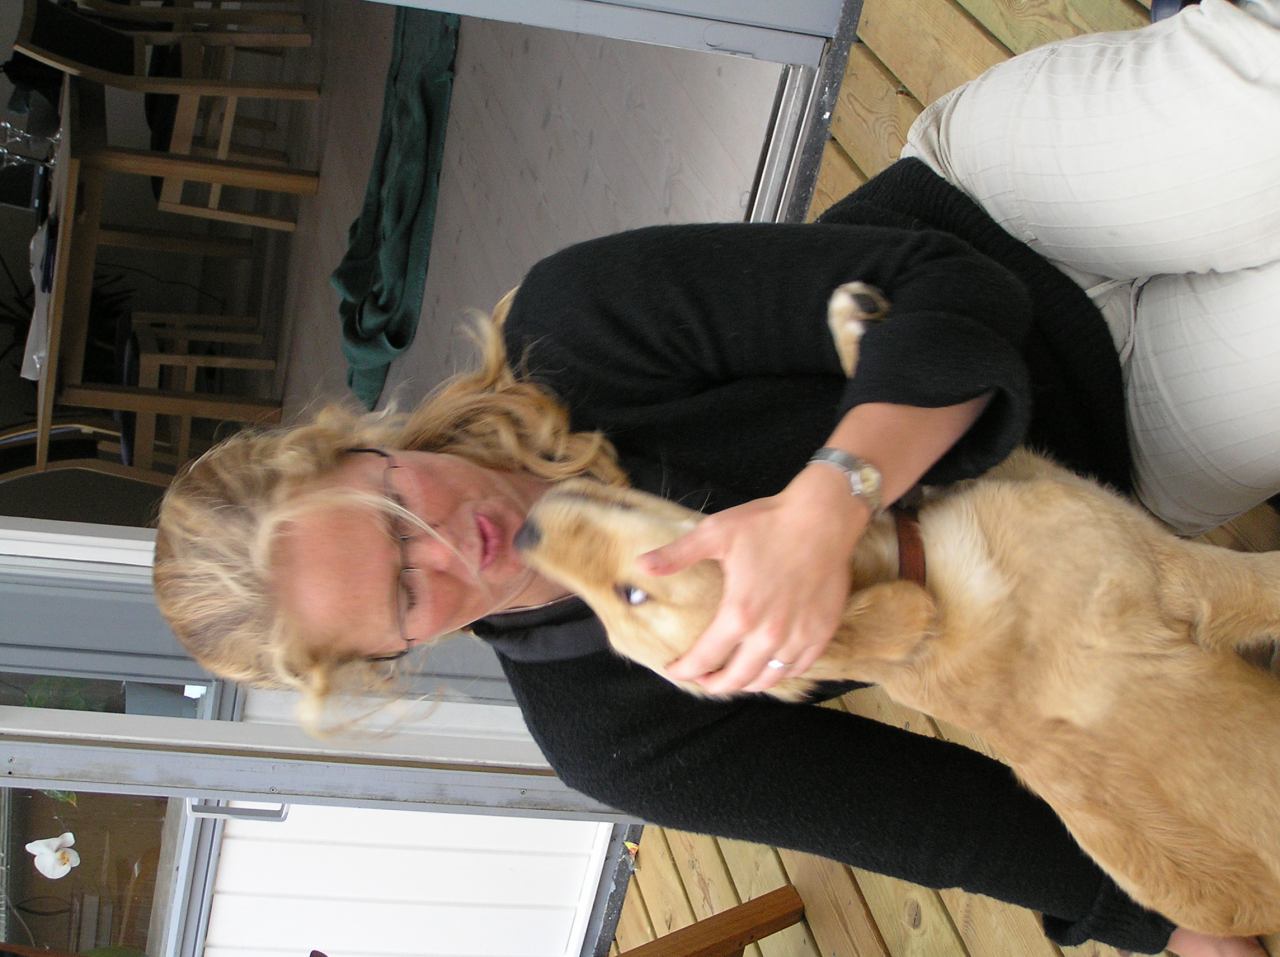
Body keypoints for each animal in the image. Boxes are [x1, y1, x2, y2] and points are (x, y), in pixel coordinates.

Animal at [515, 283, 1280, 937]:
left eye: (627, 599)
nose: (524, 533)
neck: (924, 582)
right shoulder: (1176, 569)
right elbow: (1266, 577)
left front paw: (853, 328)